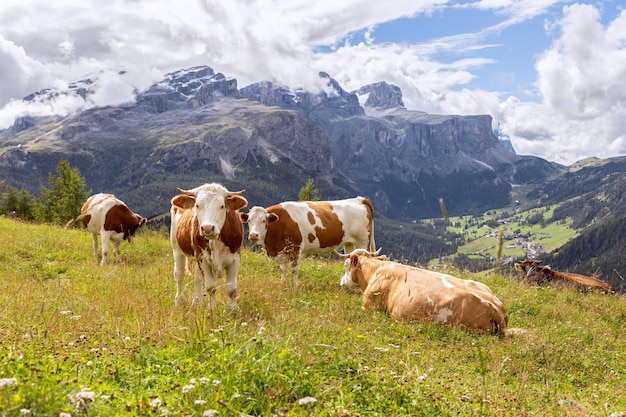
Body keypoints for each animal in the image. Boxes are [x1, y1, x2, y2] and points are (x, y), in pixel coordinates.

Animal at [171, 180, 249, 314]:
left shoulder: (235, 258)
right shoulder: (202, 258)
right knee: (179, 275)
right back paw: (179, 302)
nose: (207, 228)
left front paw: (234, 311)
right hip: (176, 248)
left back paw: (197, 303)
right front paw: (211, 310)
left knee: (197, 278)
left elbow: (231, 288)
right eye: (197, 205)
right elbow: (211, 287)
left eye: (222, 206)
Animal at [240, 197, 376, 288]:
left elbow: (294, 269)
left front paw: (295, 287)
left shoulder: (297, 247)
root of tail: (360, 199)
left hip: (362, 241)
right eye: (249, 220)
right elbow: (283, 269)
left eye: (264, 220)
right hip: (349, 243)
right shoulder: (282, 251)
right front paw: (283, 285)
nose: (253, 235)